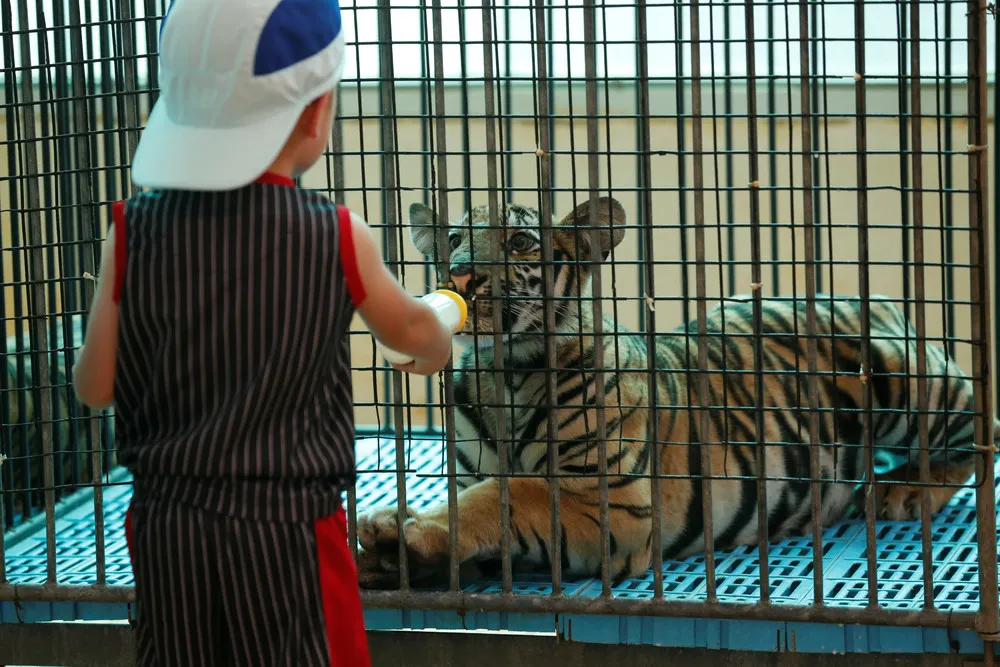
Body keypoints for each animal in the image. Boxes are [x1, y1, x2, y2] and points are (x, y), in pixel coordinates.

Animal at [355, 196, 1000, 589]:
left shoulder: (614, 502)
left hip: (907, 380)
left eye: (519, 241)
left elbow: (502, 495)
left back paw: (903, 491)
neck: (505, 372)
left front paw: (405, 534)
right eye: (455, 237)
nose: (460, 274)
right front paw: (395, 558)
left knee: (978, 431)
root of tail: (870, 296)